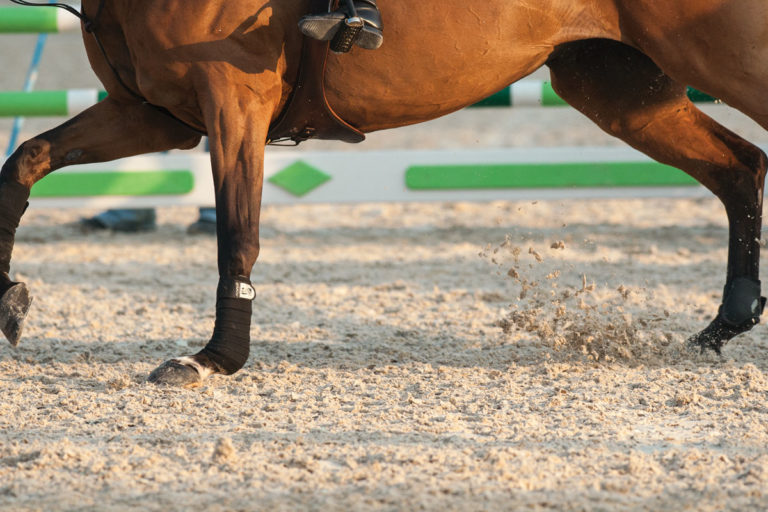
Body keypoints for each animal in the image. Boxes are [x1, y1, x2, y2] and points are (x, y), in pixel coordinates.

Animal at [1, 0, 766, 387]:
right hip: (616, 85)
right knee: (740, 168)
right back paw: (723, 325)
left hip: (718, 60)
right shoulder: (155, 113)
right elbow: (24, 163)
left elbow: (237, 234)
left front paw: (215, 357)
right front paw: (9, 299)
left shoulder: (232, 100)